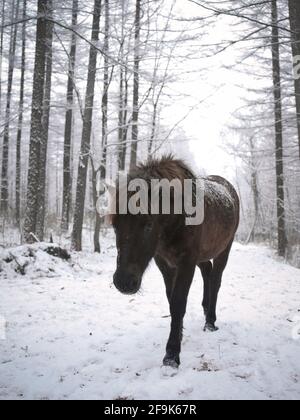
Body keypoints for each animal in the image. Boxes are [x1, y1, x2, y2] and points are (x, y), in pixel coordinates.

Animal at [111, 156, 240, 370]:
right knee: (207, 272)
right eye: (115, 225)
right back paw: (206, 310)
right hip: (203, 256)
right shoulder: (164, 262)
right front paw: (178, 335)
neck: (178, 217)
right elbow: (171, 302)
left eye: (148, 224)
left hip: (224, 250)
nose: (123, 282)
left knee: (216, 280)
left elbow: (179, 303)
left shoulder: (186, 263)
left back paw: (210, 322)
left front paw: (171, 355)